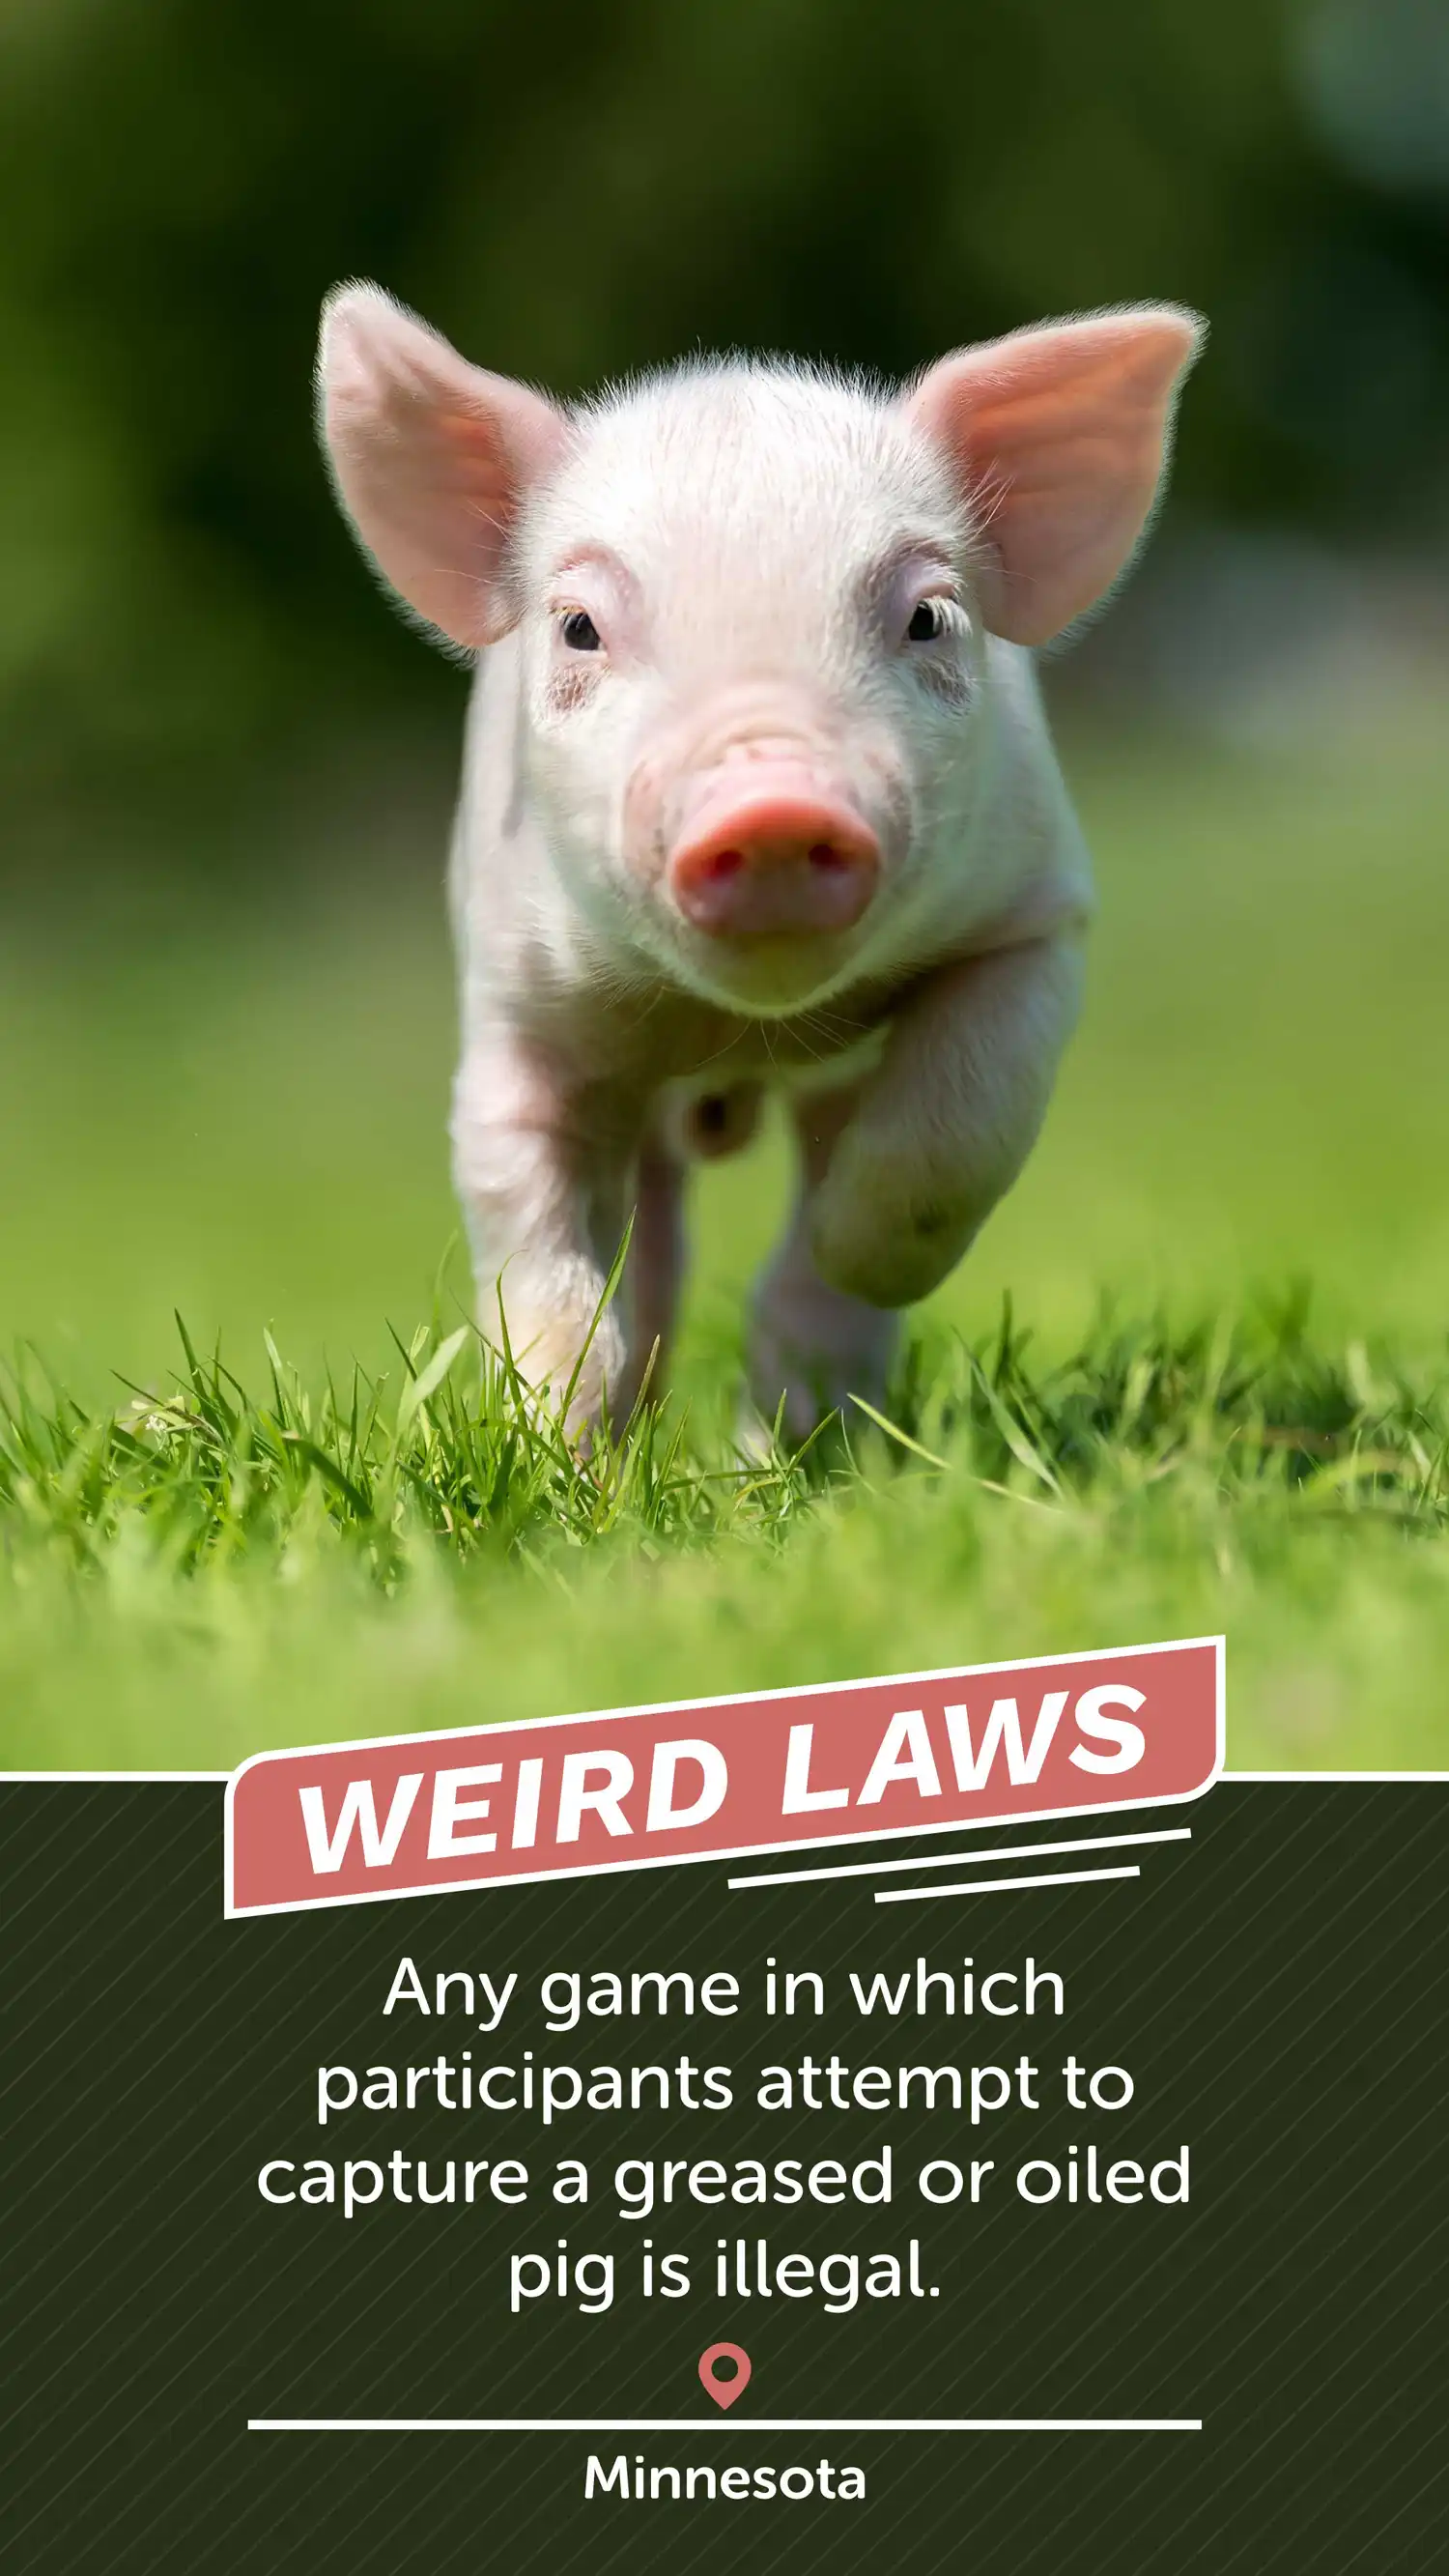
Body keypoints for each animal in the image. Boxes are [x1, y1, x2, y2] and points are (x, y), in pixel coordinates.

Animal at [317, 286, 1202, 1436]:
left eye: (928, 617)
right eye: (579, 627)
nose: (773, 800)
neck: (741, 1030)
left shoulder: (1034, 921)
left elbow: (961, 1124)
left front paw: (849, 1249)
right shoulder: (518, 1003)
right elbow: (529, 1228)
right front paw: (551, 1437)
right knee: (653, 1250)